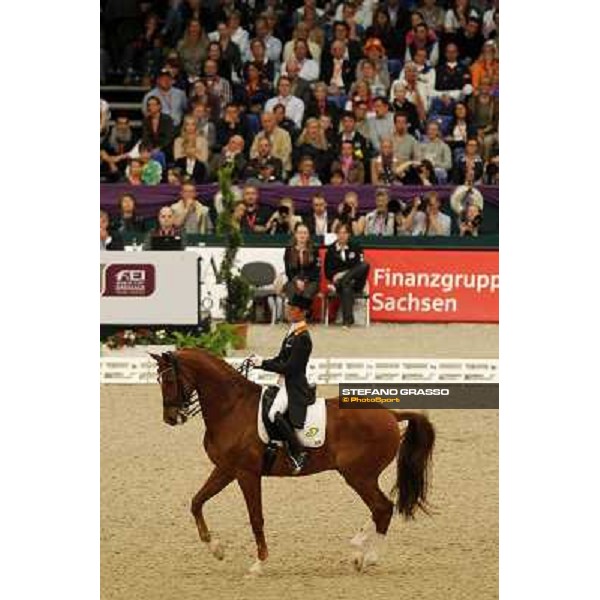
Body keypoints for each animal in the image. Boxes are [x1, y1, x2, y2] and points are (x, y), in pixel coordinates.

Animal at [148, 350, 434, 576]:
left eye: (170, 380)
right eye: (159, 380)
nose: (170, 418)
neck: (231, 407)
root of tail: (391, 414)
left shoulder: (246, 473)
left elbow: (256, 518)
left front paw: (259, 565)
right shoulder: (226, 469)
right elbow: (197, 502)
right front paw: (216, 548)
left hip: (358, 476)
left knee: (383, 508)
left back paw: (368, 557)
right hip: (360, 476)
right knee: (379, 509)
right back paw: (358, 551)